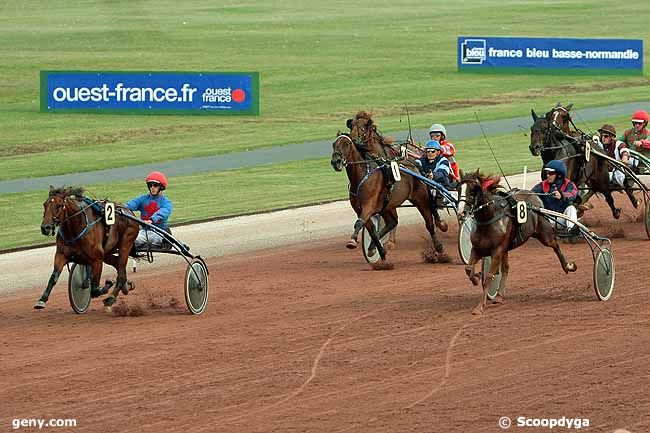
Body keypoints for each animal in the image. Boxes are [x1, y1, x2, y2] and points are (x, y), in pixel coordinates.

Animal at [330, 132, 446, 260]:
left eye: (346, 144)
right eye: (333, 144)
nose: (336, 162)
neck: (362, 176)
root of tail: (415, 166)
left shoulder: (368, 205)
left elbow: (359, 223)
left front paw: (352, 241)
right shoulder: (359, 209)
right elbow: (372, 231)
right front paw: (376, 250)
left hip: (421, 199)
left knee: (429, 223)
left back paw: (439, 246)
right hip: (387, 205)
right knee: (392, 222)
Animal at [458, 170, 576, 316]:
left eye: (473, 189)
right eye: (458, 189)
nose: (461, 212)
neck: (489, 219)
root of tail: (534, 195)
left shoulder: (497, 251)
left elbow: (489, 277)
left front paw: (479, 307)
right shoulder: (477, 248)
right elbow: (468, 269)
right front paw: (476, 277)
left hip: (544, 233)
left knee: (555, 245)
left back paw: (568, 266)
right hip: (507, 248)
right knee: (506, 268)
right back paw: (499, 296)